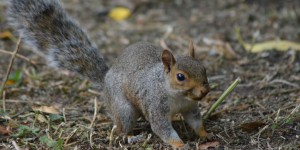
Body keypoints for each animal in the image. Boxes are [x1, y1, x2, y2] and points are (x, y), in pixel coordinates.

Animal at [8, 0, 211, 148]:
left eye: (204, 69)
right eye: (180, 77)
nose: (204, 91)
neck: (176, 95)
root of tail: (105, 80)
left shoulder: (190, 107)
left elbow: (195, 121)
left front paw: (205, 134)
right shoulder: (156, 106)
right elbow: (163, 129)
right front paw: (180, 144)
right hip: (124, 109)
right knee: (122, 128)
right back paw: (132, 137)